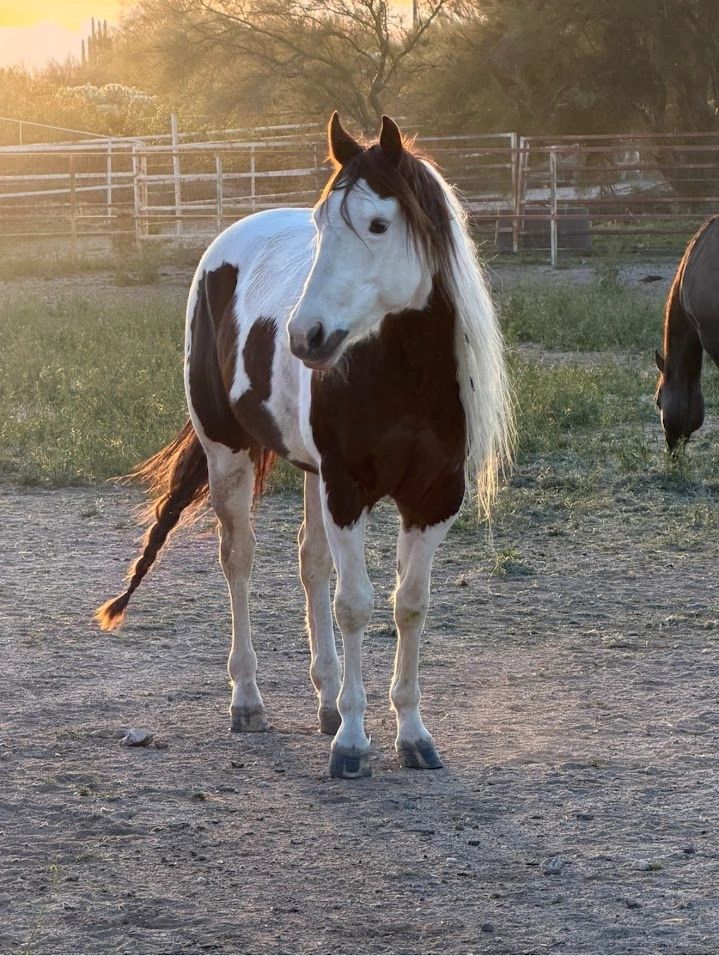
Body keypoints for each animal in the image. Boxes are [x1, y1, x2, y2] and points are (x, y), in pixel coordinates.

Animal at [95, 113, 513, 779]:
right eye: (321, 226)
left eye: (378, 224)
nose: (304, 336)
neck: (405, 377)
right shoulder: (348, 490)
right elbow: (356, 606)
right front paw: (353, 742)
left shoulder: (433, 498)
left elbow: (409, 604)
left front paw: (411, 734)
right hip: (229, 453)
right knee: (238, 559)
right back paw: (248, 701)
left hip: (314, 473)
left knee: (310, 562)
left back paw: (325, 701)